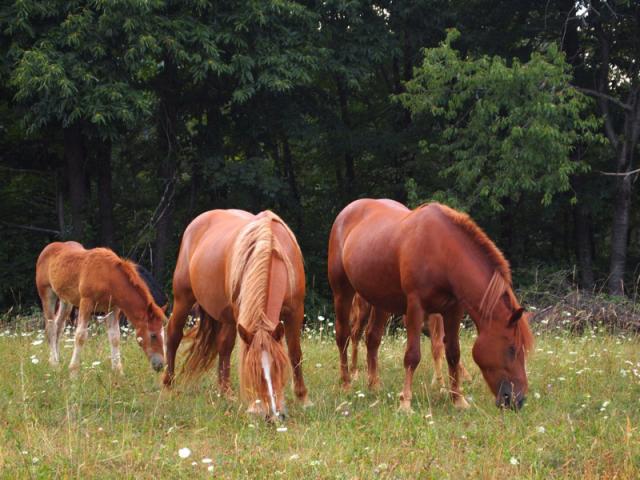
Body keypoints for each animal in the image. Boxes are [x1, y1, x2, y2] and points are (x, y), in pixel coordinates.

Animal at [35, 242, 166, 374]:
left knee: (58, 326)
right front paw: (73, 371)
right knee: (51, 328)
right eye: (153, 335)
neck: (108, 276)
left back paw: (57, 360)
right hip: (47, 294)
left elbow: (115, 337)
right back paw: (54, 363)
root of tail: (49, 247)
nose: (160, 365)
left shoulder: (113, 308)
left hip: (65, 301)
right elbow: (80, 336)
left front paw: (118, 371)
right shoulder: (86, 302)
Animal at [164, 210, 312, 420]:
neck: (271, 247)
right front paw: (254, 405)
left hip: (224, 315)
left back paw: (225, 392)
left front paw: (303, 399)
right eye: (252, 370)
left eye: (278, 367)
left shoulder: (296, 311)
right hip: (183, 298)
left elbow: (295, 353)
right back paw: (168, 385)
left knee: (223, 346)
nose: (271, 415)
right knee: (173, 335)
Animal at [328, 199, 532, 412]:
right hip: (343, 292)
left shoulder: (453, 310)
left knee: (372, 338)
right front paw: (405, 403)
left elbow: (453, 353)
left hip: (380, 301)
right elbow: (412, 356)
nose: (517, 400)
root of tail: (347, 210)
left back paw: (374, 386)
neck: (442, 252)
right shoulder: (415, 307)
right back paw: (346, 384)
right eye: (511, 348)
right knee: (343, 336)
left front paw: (458, 399)